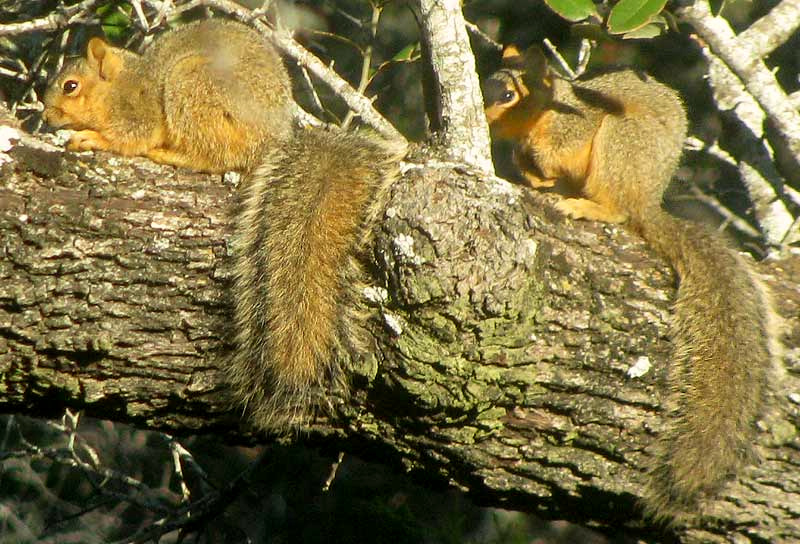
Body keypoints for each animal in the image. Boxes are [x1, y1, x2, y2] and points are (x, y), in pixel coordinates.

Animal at [42, 19, 406, 430]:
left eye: (71, 86)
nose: (47, 117)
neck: (121, 83)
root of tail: (270, 140)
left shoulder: (139, 111)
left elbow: (131, 137)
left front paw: (90, 138)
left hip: (194, 88)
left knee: (211, 155)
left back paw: (171, 154)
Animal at [482, 45, 780, 524]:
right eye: (481, 79)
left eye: (509, 94)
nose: (482, 110)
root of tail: (647, 203)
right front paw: (527, 171)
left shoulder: (575, 124)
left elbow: (559, 147)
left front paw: (536, 161)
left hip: (623, 145)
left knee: (618, 209)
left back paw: (590, 207)